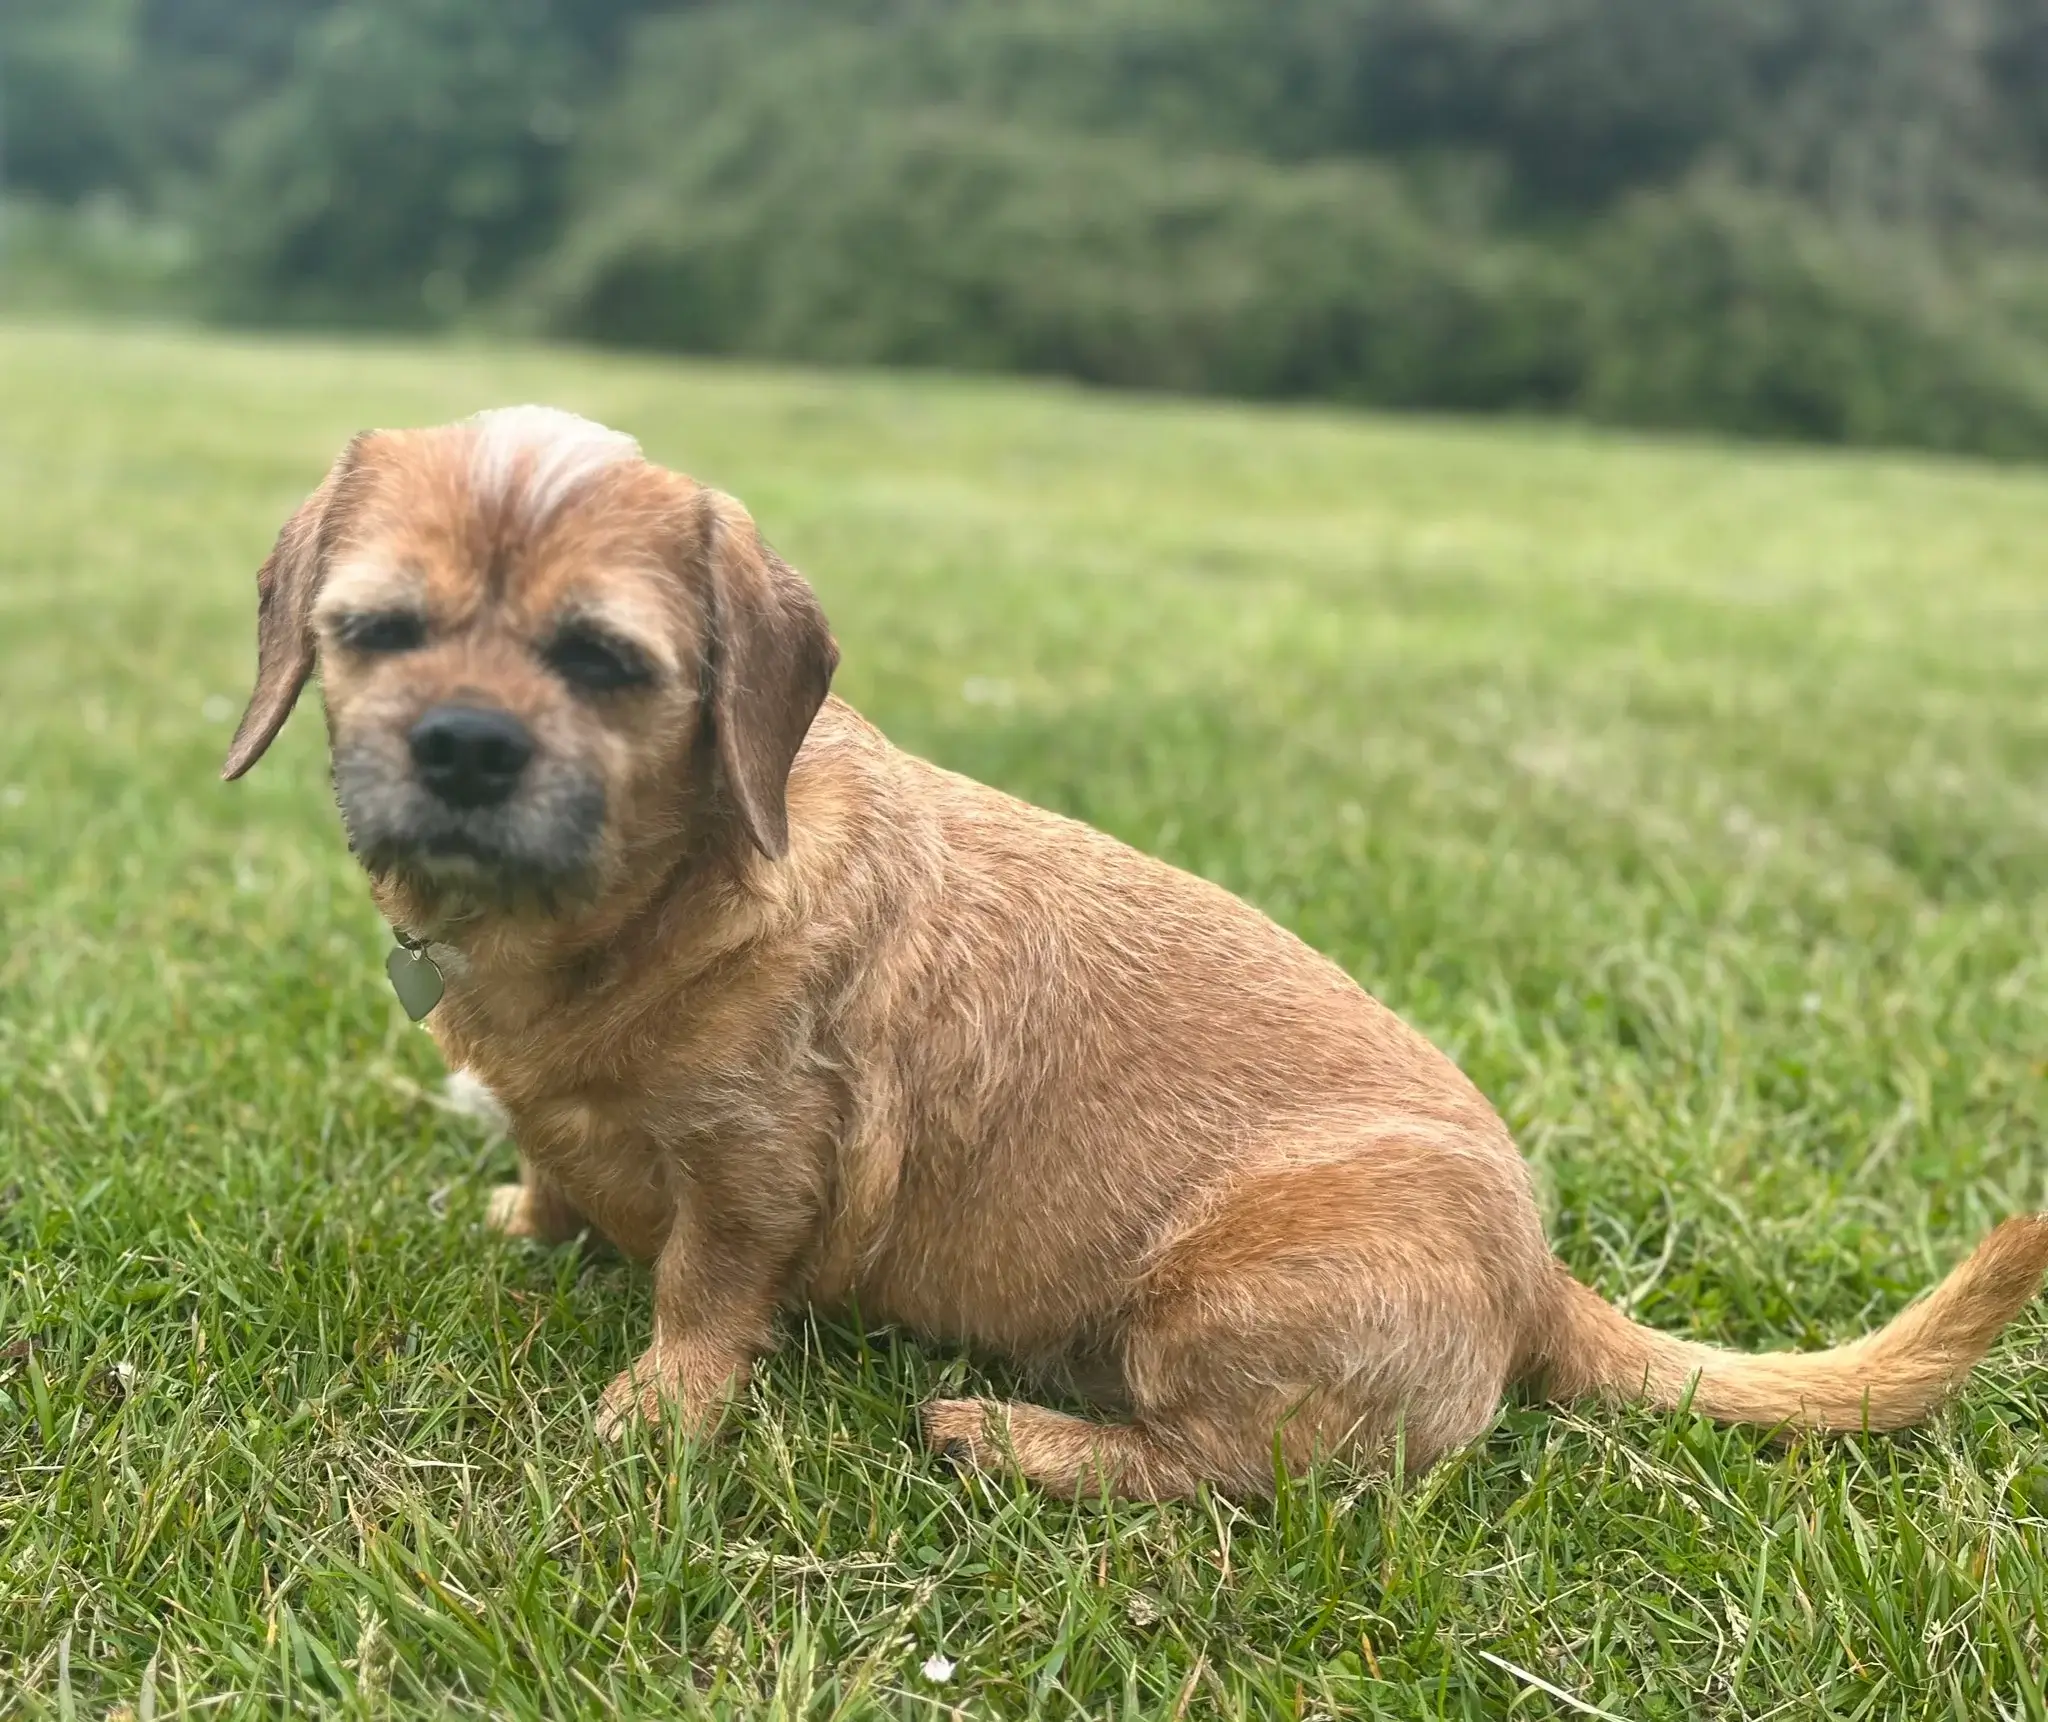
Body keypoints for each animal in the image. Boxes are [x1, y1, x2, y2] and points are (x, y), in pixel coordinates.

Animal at [228, 409, 2048, 1498]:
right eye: (376, 630)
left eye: (606, 661)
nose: (465, 744)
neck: (631, 906)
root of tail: (1536, 1274)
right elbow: (554, 1169)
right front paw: (531, 1216)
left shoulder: (757, 1166)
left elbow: (702, 1289)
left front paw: (659, 1410)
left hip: (1210, 1303)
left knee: (1221, 1472)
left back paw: (1018, 1434)